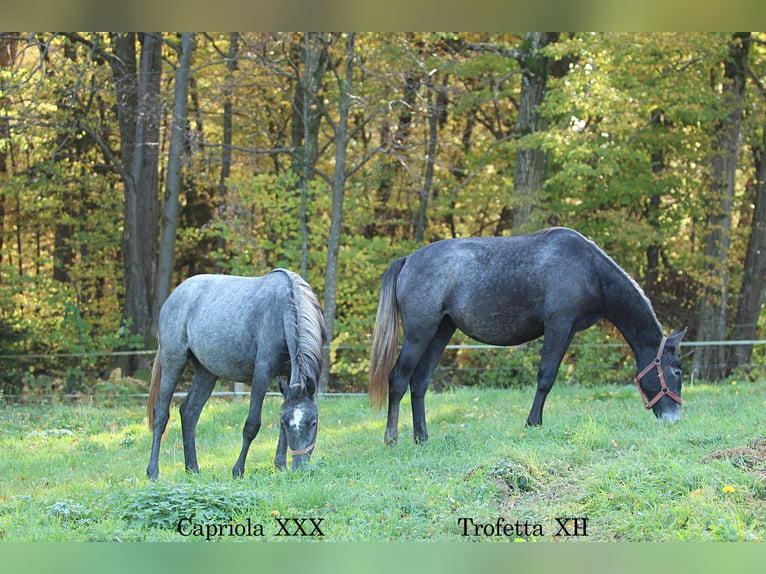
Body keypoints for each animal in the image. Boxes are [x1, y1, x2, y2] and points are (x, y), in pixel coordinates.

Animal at [146, 270, 326, 482]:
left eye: (313, 422)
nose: (299, 469)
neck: (283, 309)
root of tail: (175, 295)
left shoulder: (290, 378)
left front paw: (281, 466)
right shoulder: (263, 372)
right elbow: (252, 425)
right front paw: (238, 470)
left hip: (206, 373)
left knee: (189, 412)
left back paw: (193, 469)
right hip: (173, 361)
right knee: (161, 414)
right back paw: (153, 472)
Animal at [368, 227, 688, 448]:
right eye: (676, 371)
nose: (675, 418)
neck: (588, 269)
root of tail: (408, 260)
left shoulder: (567, 330)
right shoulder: (558, 325)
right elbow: (546, 376)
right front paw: (534, 422)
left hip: (440, 332)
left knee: (419, 382)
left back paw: (422, 437)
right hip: (419, 334)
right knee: (398, 380)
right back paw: (391, 438)